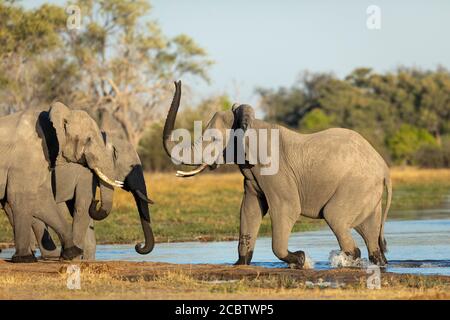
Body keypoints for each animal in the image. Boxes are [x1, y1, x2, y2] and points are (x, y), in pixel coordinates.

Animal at [4, 109, 156, 262]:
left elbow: (80, 210)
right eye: (131, 167)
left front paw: (87, 259)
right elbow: (81, 208)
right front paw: (76, 258)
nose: (138, 245)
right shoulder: (86, 174)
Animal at [163, 81, 392, 268]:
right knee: (369, 230)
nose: (177, 82)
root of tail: (384, 168)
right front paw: (240, 264)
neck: (252, 124)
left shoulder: (276, 171)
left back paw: (350, 258)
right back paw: (378, 262)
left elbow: (287, 208)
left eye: (214, 140)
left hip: (357, 185)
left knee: (335, 216)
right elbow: (249, 210)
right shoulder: (252, 173)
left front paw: (300, 259)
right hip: (368, 193)